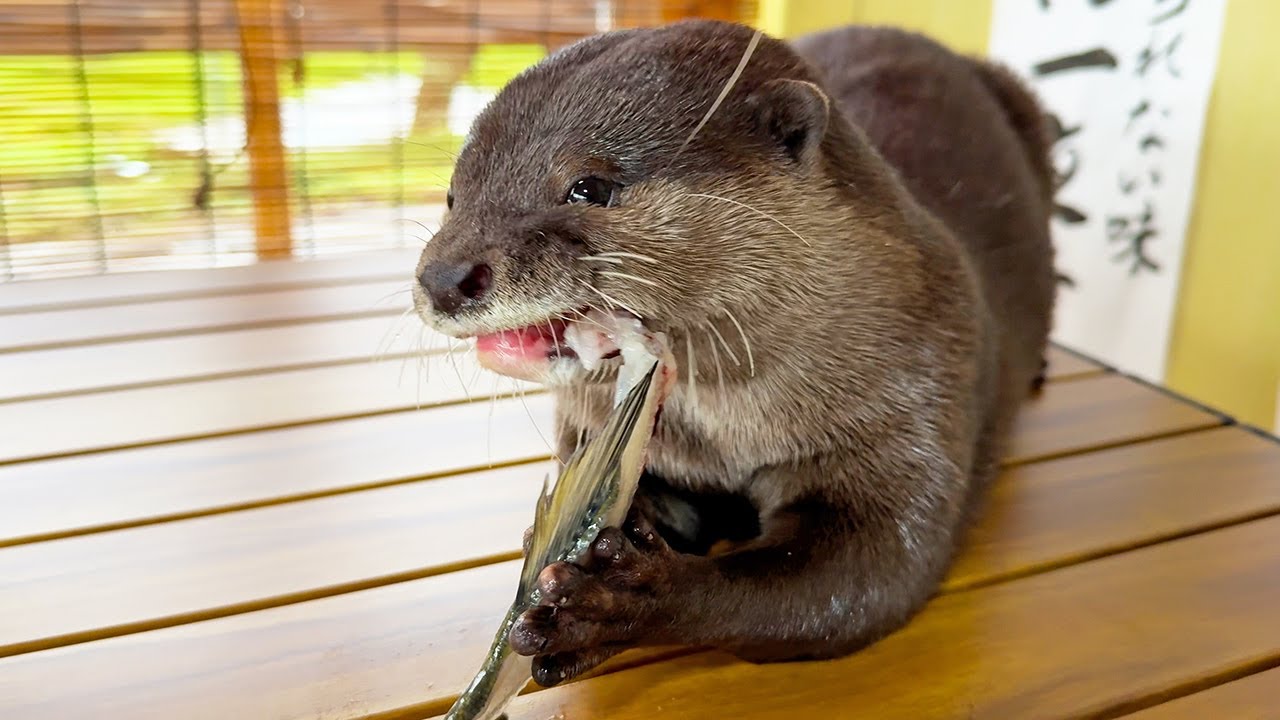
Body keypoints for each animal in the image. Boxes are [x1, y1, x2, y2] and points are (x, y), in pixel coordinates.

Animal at [412, 20, 1056, 687]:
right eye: (453, 195)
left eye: (590, 187)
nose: (443, 277)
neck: (727, 435)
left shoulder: (921, 387)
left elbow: (877, 564)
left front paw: (622, 600)